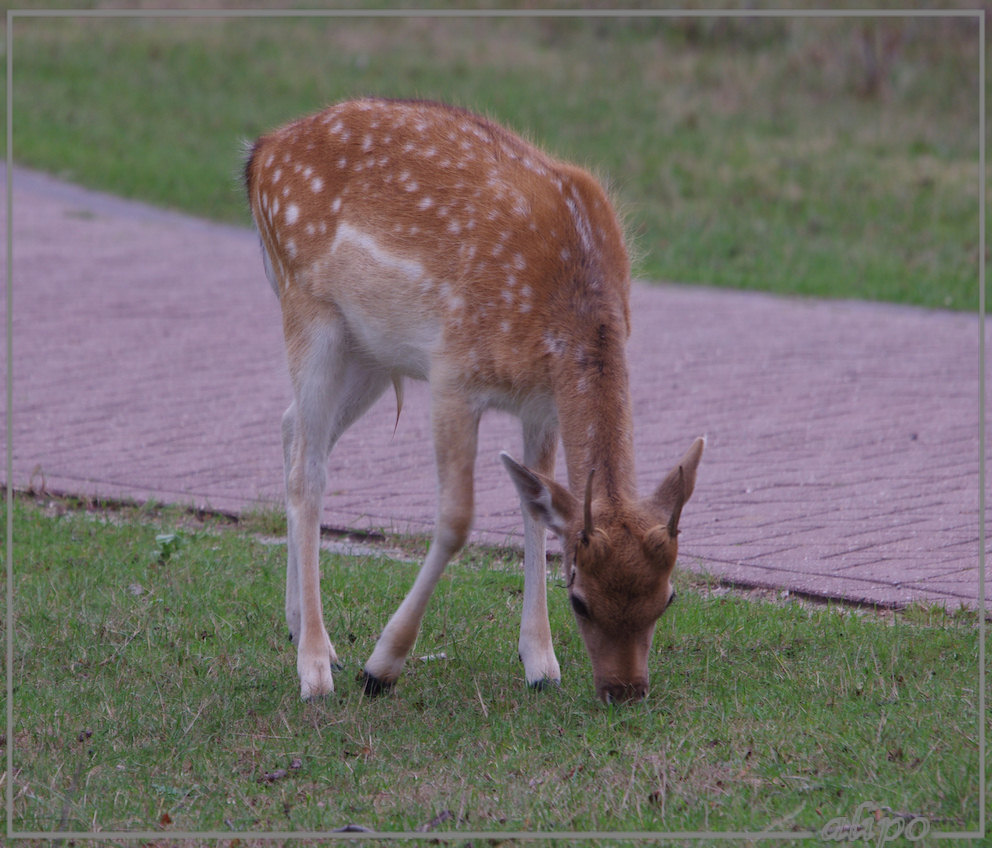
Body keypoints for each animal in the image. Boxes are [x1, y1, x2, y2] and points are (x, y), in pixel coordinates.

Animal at [244, 99, 700, 704]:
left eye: (667, 599)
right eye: (580, 599)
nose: (625, 690)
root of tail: (260, 153)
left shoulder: (541, 402)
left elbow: (534, 507)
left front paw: (541, 662)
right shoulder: (453, 374)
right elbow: (459, 518)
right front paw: (381, 667)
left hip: (370, 350)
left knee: (292, 428)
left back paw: (301, 628)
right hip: (308, 306)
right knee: (307, 474)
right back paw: (316, 668)